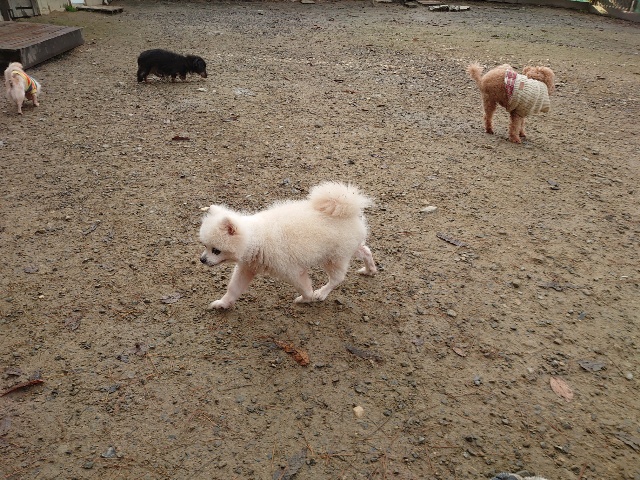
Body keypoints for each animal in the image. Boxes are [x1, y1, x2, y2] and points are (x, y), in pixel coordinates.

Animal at [199, 182, 377, 309]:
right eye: (205, 246)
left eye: (216, 250)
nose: (202, 260)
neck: (256, 239)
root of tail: (348, 210)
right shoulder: (247, 268)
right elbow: (234, 289)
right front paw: (223, 303)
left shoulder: (292, 271)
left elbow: (304, 288)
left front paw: (307, 299)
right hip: (348, 249)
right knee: (366, 250)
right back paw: (370, 269)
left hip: (334, 257)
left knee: (337, 278)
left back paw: (321, 293)